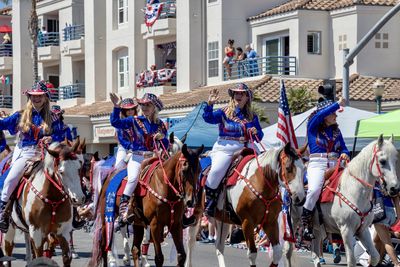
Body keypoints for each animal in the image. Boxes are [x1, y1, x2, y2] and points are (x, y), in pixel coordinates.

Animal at [282, 136, 400, 267]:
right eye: (383, 161)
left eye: (396, 160)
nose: (394, 188)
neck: (353, 190)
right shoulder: (346, 230)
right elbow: (351, 261)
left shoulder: (363, 230)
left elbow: (375, 257)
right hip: (293, 221)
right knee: (288, 250)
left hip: (318, 229)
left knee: (315, 250)